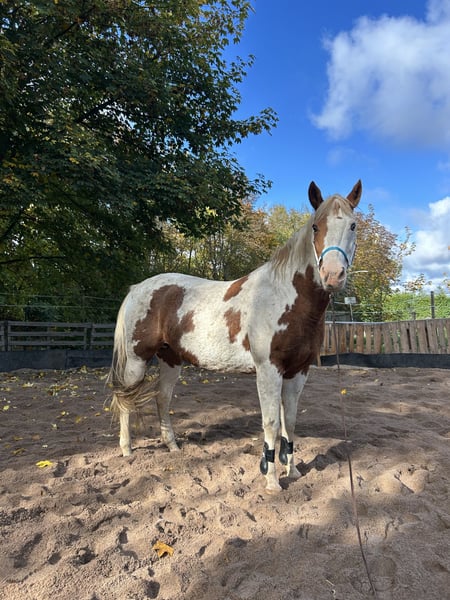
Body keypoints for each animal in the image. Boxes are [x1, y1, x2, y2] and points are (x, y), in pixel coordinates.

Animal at [109, 180, 362, 492]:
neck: (285, 298)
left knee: (162, 399)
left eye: (352, 225)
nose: (333, 275)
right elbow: (271, 423)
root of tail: (138, 288)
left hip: (171, 360)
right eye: (316, 226)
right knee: (126, 401)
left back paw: (173, 446)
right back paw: (127, 449)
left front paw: (293, 471)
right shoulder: (268, 371)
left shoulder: (298, 371)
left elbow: (289, 421)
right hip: (136, 360)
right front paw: (272, 480)